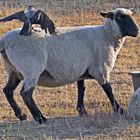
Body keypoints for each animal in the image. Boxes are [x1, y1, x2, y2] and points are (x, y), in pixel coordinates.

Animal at [0, 7, 138, 123]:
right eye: (119, 17)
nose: (136, 31)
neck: (107, 35)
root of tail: (5, 41)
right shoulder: (100, 69)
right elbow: (108, 89)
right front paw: (119, 110)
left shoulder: (81, 69)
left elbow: (81, 88)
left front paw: (82, 111)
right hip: (31, 68)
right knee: (26, 93)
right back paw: (40, 118)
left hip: (13, 70)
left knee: (8, 91)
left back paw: (21, 115)